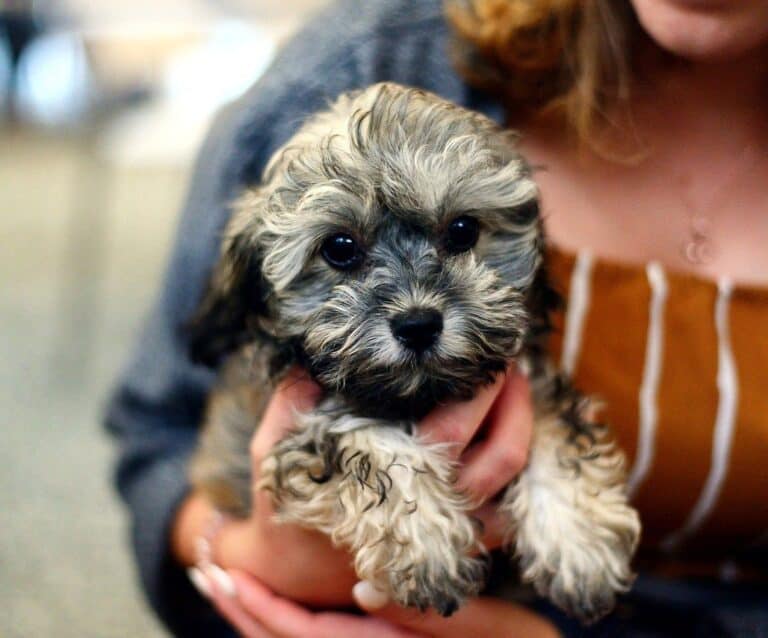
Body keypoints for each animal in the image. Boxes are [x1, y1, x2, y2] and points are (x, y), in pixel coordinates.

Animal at [188, 82, 640, 624]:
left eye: (463, 231)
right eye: (339, 247)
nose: (418, 324)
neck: (421, 393)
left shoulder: (527, 379)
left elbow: (555, 429)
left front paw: (577, 542)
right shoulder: (307, 420)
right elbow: (369, 443)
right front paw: (425, 542)